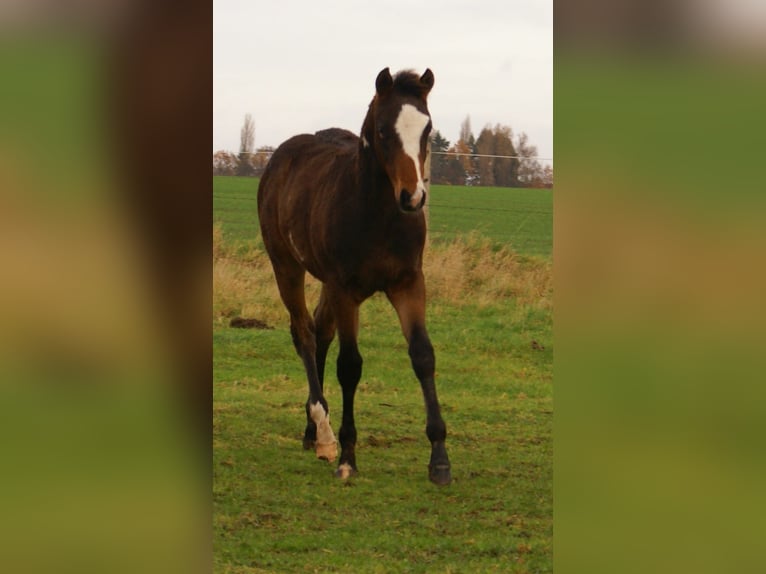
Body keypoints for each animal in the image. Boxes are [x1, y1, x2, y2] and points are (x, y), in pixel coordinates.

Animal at [257, 68, 451, 485]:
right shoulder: (346, 289)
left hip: (327, 283)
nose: (413, 197)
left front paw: (440, 459)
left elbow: (423, 355)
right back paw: (324, 433)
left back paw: (312, 433)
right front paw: (347, 455)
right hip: (287, 266)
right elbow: (350, 366)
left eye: (427, 128)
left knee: (320, 332)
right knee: (304, 334)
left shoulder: (408, 284)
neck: (379, 217)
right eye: (382, 130)